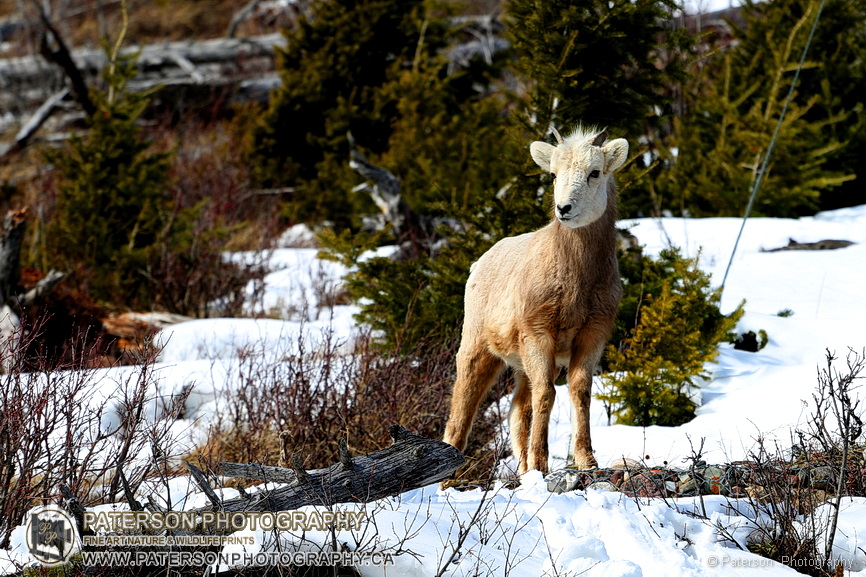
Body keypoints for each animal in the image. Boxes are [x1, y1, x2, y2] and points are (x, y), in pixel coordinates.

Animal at [442, 126, 624, 472]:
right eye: (553, 174)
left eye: (594, 172)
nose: (564, 209)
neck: (577, 284)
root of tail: (478, 263)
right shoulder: (538, 335)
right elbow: (546, 395)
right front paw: (541, 464)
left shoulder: (592, 335)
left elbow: (579, 392)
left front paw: (586, 461)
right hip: (476, 348)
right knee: (461, 415)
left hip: (521, 364)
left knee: (517, 411)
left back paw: (523, 469)